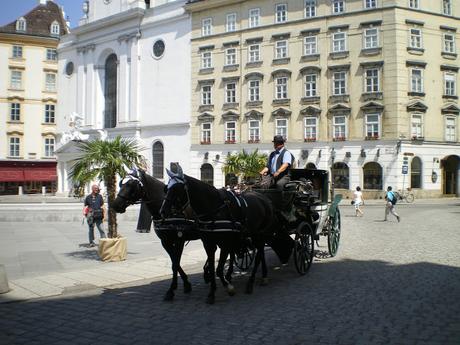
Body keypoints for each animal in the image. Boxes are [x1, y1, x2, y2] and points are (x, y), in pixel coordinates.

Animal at [112, 168, 199, 300]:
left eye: (132, 186)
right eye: (122, 183)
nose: (115, 204)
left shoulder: (179, 239)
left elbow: (175, 264)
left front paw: (172, 290)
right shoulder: (165, 242)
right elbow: (174, 263)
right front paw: (185, 284)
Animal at [160, 169, 278, 300]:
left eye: (177, 189)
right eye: (166, 188)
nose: (162, 211)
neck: (214, 208)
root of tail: (264, 199)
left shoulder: (225, 243)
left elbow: (218, 269)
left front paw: (228, 287)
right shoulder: (209, 244)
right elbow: (212, 267)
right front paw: (212, 292)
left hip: (259, 235)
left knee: (258, 256)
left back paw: (251, 283)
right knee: (260, 254)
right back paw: (263, 276)